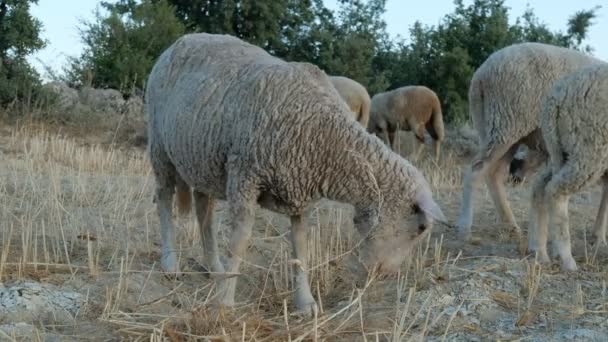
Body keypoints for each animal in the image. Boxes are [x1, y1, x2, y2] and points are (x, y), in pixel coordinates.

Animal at [145, 32, 444, 316]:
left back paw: (215, 267)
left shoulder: (300, 193)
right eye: (420, 228)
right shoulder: (245, 176)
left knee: (203, 211)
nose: (386, 275)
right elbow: (239, 242)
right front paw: (225, 304)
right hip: (160, 147)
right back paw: (171, 262)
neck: (328, 140)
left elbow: (301, 249)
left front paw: (305, 302)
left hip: (200, 158)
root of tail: (183, 39)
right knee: (164, 199)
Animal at [452, 42, 604, 240]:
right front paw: (599, 236)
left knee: (493, 174)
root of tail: (480, 75)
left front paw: (598, 235)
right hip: (505, 123)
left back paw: (510, 225)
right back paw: (465, 228)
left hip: (503, 130)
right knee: (475, 171)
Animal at [528, 62, 608, 272]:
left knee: (539, 187)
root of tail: (557, 95)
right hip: (588, 149)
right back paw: (566, 258)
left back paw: (539, 250)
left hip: (561, 149)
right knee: (556, 191)